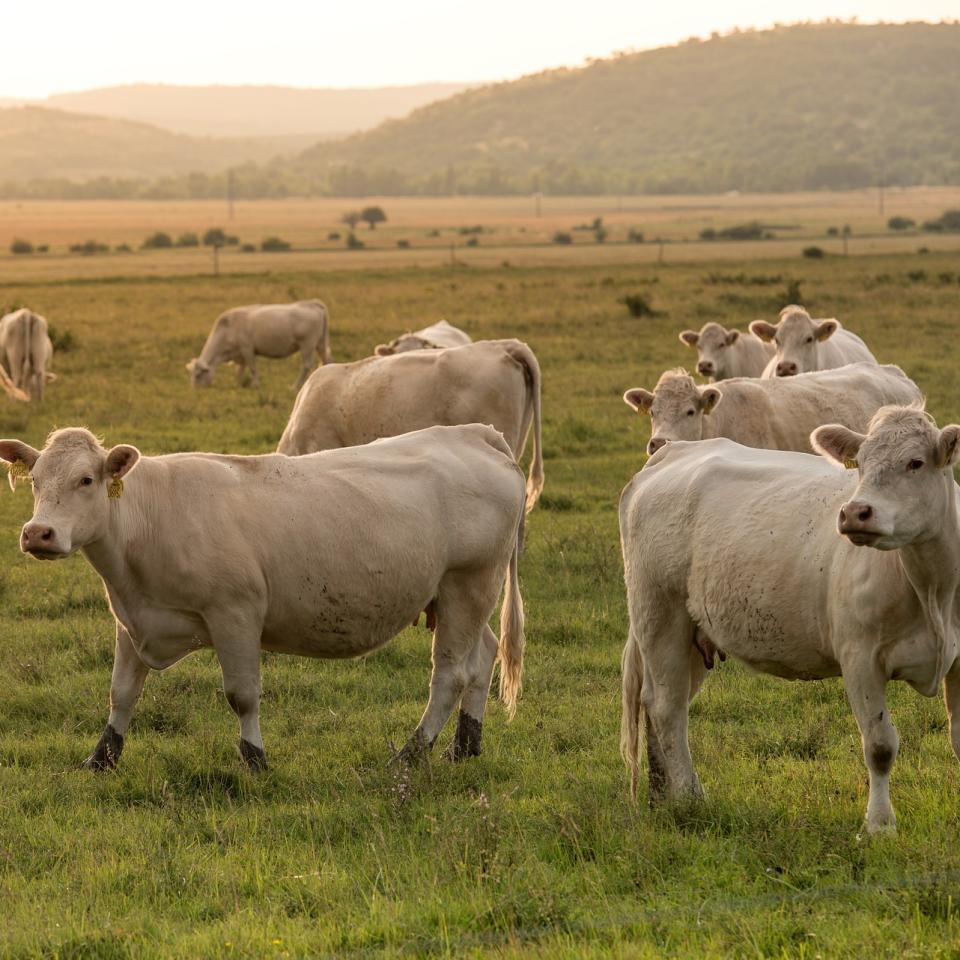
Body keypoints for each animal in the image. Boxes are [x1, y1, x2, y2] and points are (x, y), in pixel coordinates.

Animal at [0, 424, 524, 768]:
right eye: (35, 480)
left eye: (86, 480)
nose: (38, 533)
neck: (149, 518)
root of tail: (473, 434)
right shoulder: (133, 619)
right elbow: (121, 693)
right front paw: (102, 758)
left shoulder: (235, 614)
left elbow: (242, 696)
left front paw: (255, 759)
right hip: (460, 596)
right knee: (484, 657)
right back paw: (465, 747)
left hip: (467, 583)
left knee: (450, 675)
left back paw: (412, 754)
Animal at [186, 300, 332, 390]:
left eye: (198, 375)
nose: (195, 390)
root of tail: (313, 304)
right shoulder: (240, 355)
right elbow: (239, 370)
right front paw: (238, 383)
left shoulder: (247, 349)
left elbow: (252, 368)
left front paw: (255, 385)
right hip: (320, 344)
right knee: (326, 360)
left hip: (307, 344)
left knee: (306, 365)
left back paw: (295, 386)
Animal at [620, 404, 960, 832]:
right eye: (861, 463)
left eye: (915, 462)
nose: (855, 512)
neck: (933, 590)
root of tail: (672, 452)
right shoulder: (860, 657)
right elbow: (880, 745)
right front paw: (879, 826)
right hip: (660, 615)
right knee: (667, 707)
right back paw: (689, 800)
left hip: (692, 636)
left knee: (661, 703)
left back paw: (662, 796)